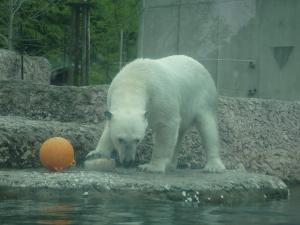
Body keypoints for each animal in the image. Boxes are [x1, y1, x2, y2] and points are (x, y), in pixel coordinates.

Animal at [86, 55, 225, 173]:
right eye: (120, 139)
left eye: (137, 140)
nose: (128, 162)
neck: (134, 81)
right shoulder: (111, 98)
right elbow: (108, 128)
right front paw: (95, 154)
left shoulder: (161, 97)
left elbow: (167, 126)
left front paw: (151, 167)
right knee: (178, 136)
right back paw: (169, 164)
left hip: (204, 97)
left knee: (207, 127)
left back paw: (213, 167)